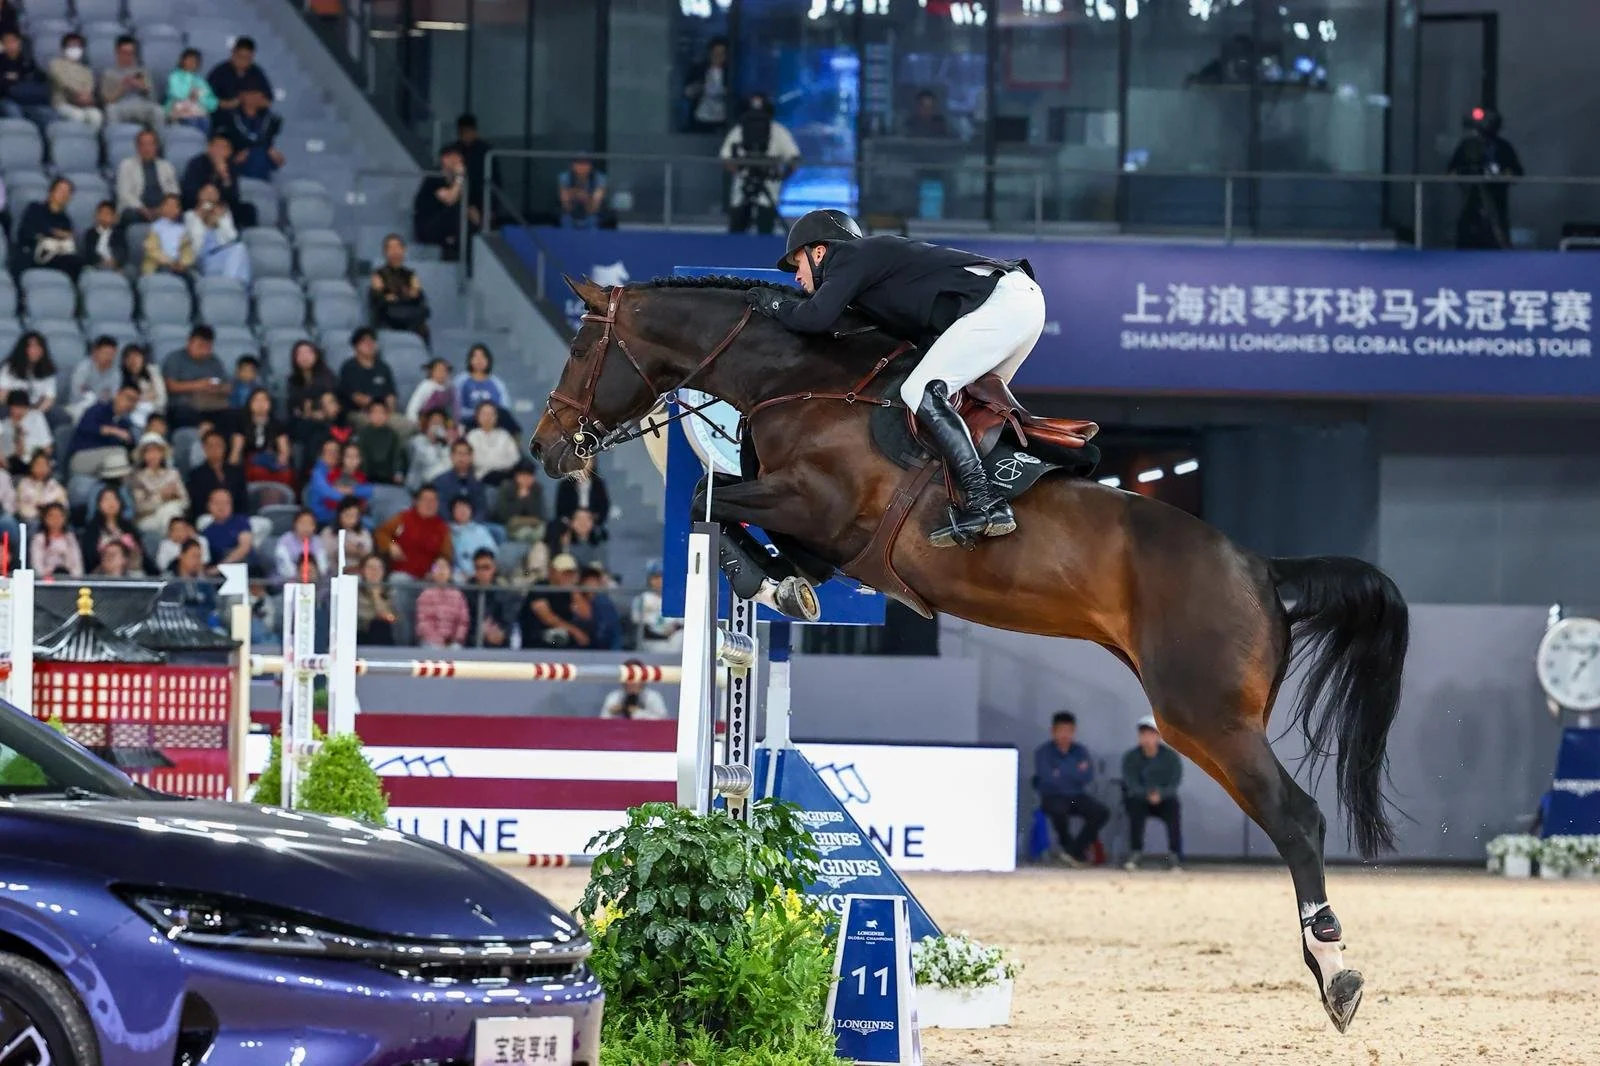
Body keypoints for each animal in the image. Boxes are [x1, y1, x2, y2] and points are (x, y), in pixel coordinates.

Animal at [532, 275, 1408, 1034]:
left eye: (580, 350)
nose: (546, 450)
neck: (799, 383)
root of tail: (1262, 569)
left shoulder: (814, 504)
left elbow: (703, 499)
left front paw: (765, 577)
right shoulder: (831, 538)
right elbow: (748, 527)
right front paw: (783, 584)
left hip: (1205, 719)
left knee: (1296, 818)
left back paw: (1335, 972)